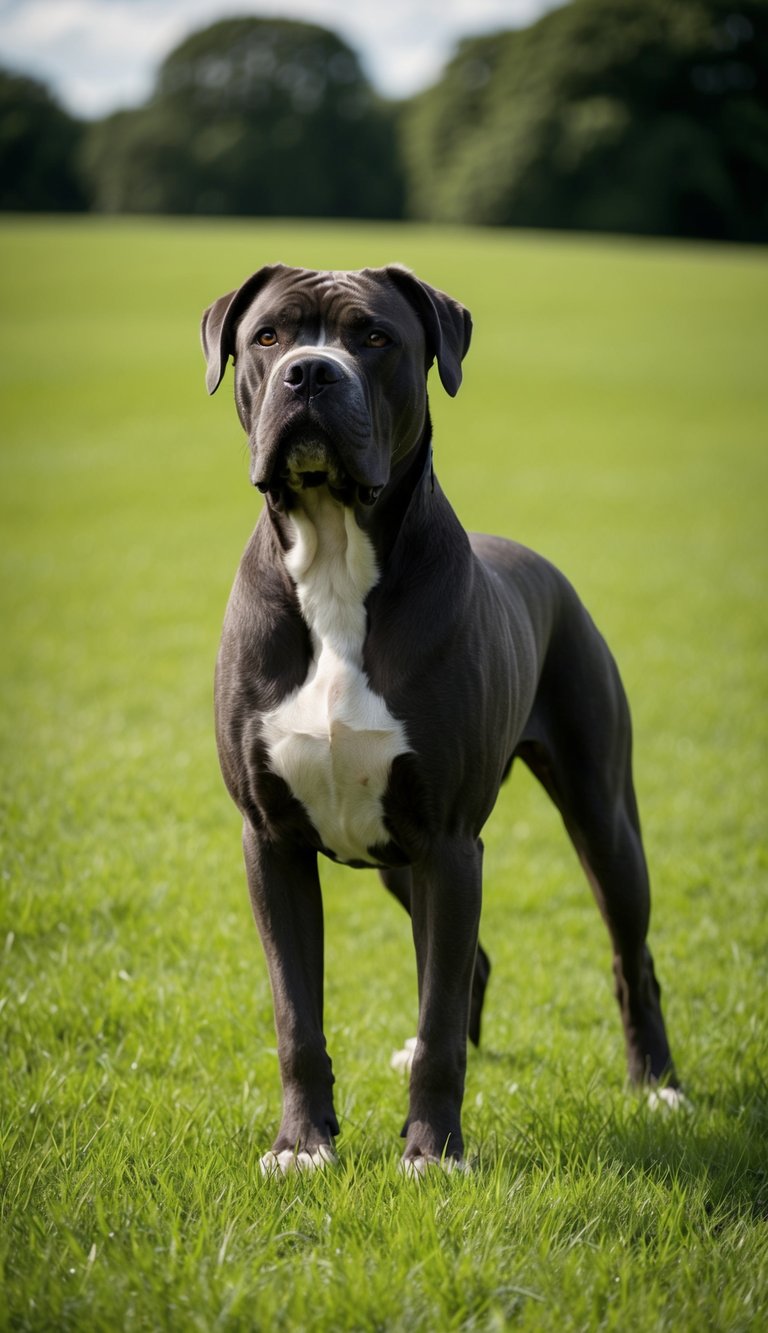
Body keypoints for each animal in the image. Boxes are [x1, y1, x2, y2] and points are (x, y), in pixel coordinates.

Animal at [201, 263, 679, 1176]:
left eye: (374, 338)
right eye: (269, 336)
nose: (310, 374)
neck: (335, 558)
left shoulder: (452, 839)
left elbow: (439, 1019)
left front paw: (434, 1152)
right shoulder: (272, 840)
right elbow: (297, 1016)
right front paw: (301, 1144)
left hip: (600, 817)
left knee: (628, 952)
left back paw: (658, 1084)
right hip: (397, 856)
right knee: (467, 963)